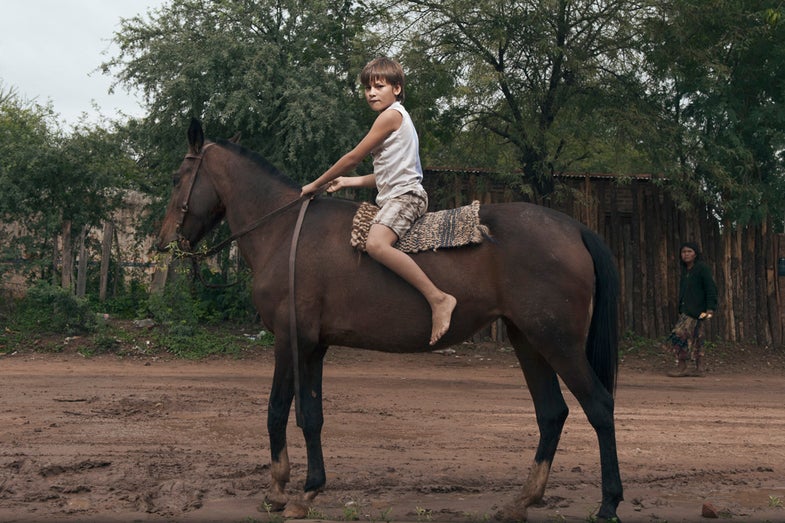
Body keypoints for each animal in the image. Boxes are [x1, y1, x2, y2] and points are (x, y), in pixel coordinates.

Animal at [158, 121, 624, 520]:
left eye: (178, 178)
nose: (164, 242)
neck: (284, 232)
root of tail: (575, 229)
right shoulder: (314, 346)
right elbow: (312, 415)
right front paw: (310, 490)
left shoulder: (289, 341)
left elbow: (277, 411)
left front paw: (278, 492)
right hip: (528, 339)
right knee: (552, 413)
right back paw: (522, 501)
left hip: (557, 342)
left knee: (599, 407)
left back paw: (608, 504)